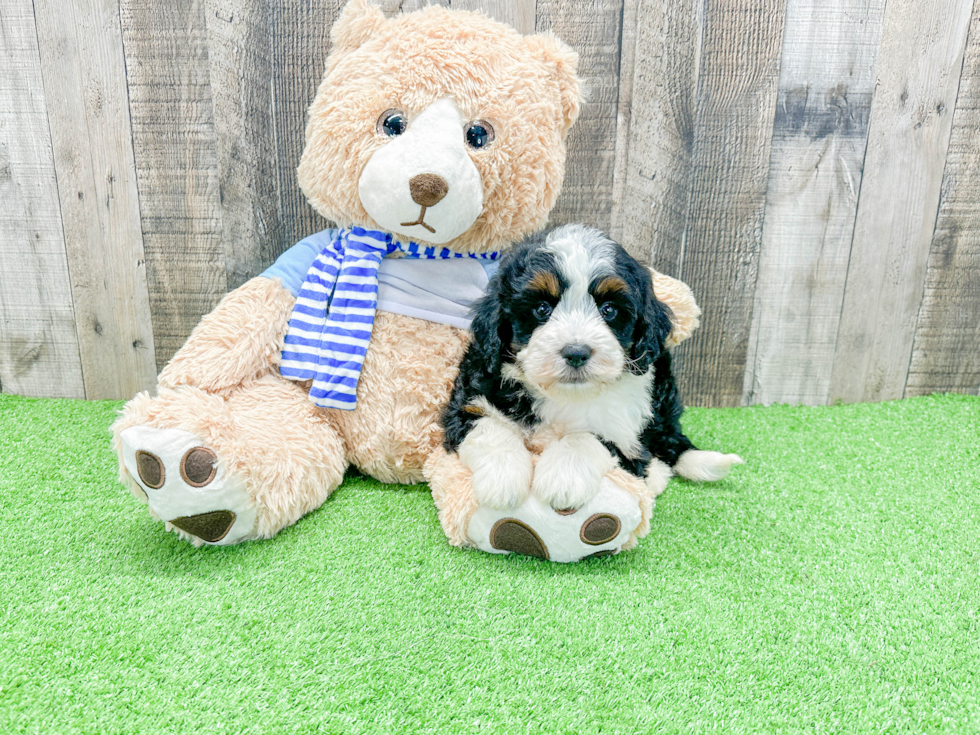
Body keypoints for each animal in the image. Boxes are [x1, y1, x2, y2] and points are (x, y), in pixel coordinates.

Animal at [440, 224, 740, 512]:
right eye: (541, 309)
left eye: (608, 310)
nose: (576, 353)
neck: (566, 395)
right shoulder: (469, 398)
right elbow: (487, 425)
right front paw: (502, 479)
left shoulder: (624, 433)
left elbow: (588, 437)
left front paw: (563, 478)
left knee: (665, 438)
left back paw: (657, 472)